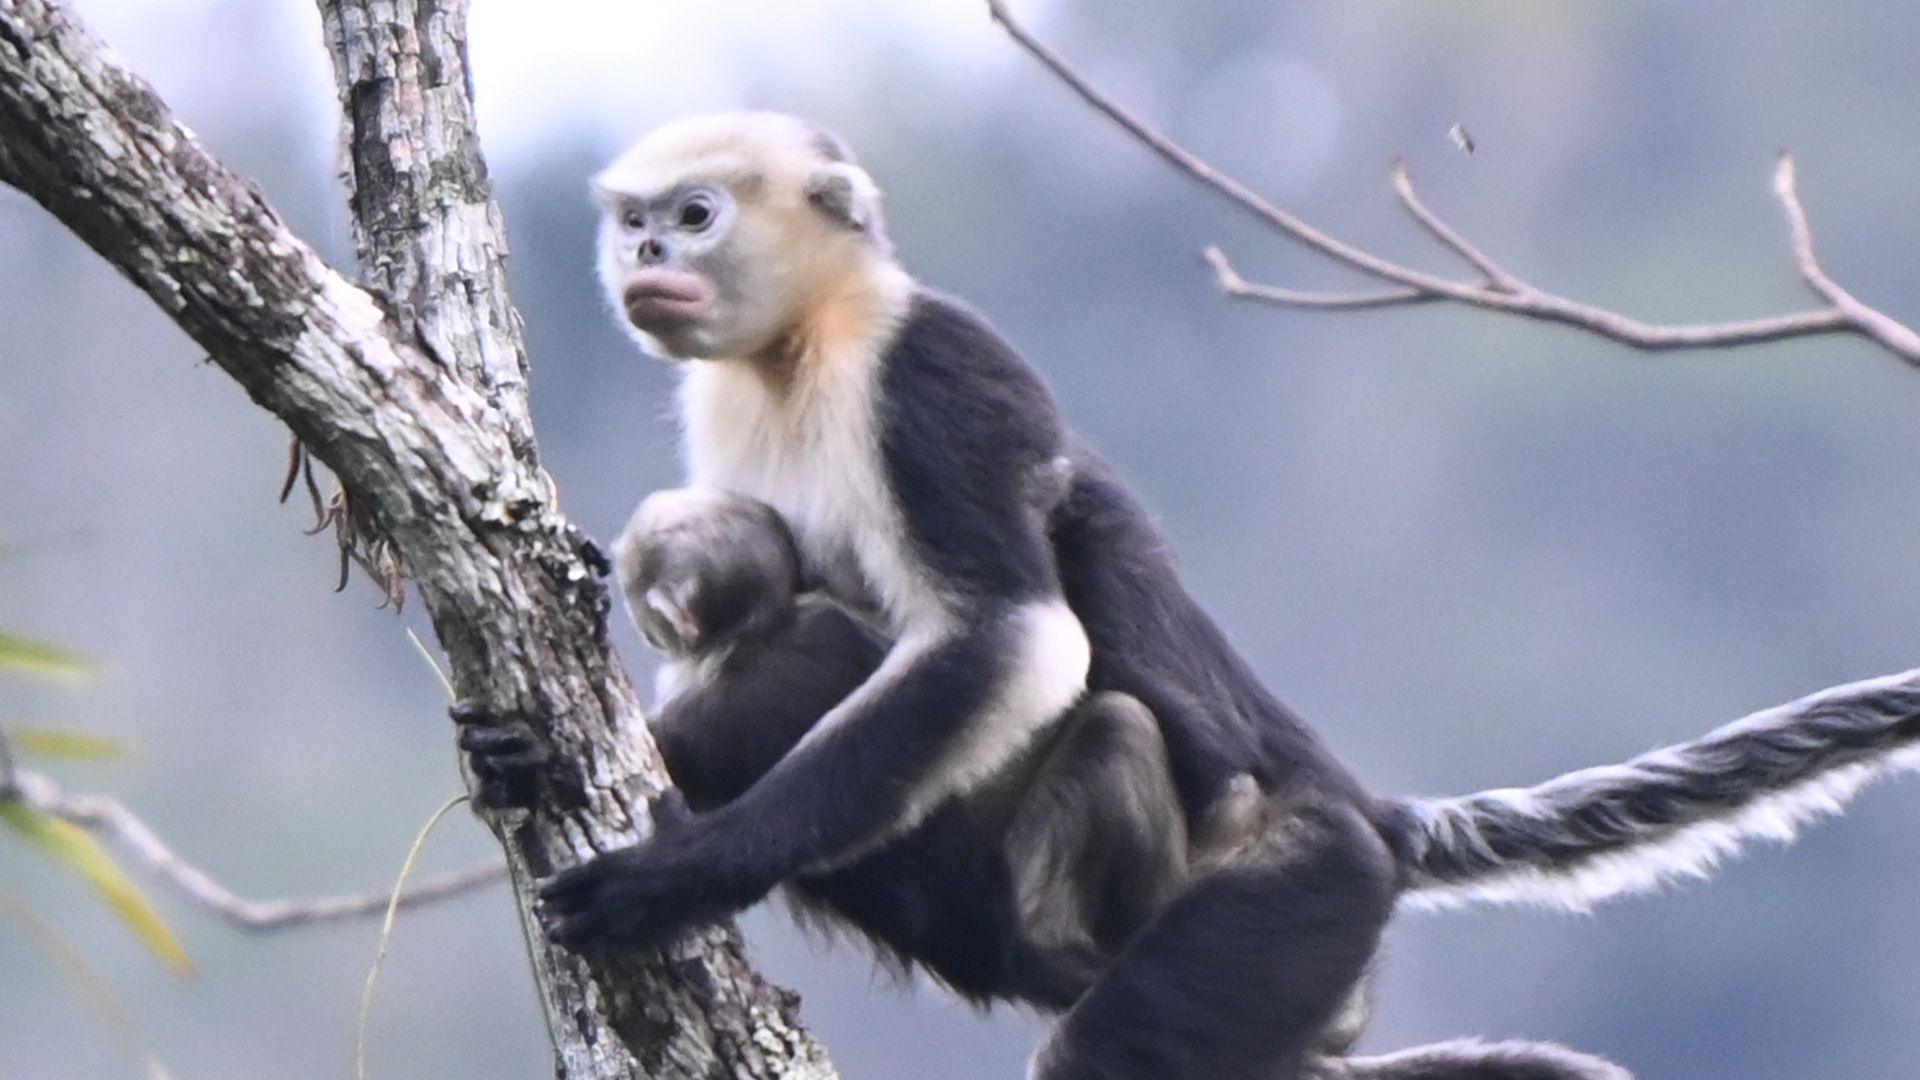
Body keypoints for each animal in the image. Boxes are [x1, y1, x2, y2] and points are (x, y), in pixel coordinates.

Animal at [450, 112, 1920, 1079]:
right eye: (636, 222)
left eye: (692, 214)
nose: (646, 255)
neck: (803, 344)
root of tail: (1364, 810)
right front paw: (526, 740)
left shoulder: (931, 374)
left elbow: (1010, 636)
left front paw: (682, 869)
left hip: (1292, 903)